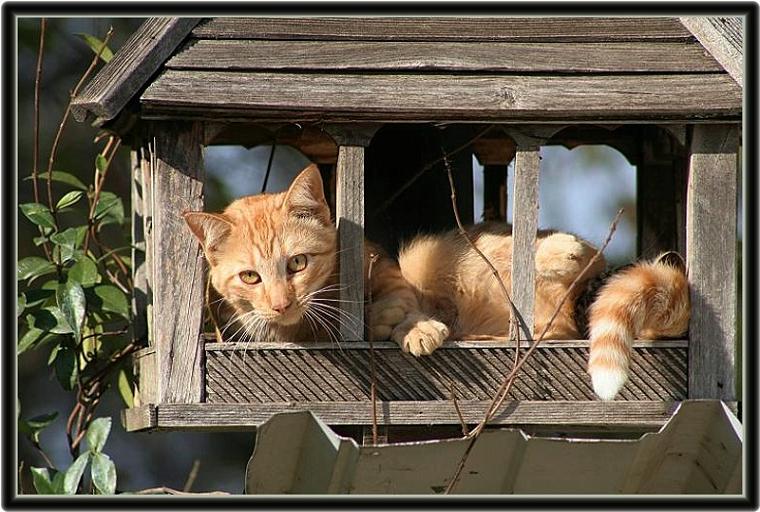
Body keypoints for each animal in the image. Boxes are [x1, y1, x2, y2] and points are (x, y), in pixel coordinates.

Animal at [183, 164, 688, 400]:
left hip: (446, 253)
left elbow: (401, 299)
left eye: (297, 263)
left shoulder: (386, 263)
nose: (281, 302)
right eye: (250, 277)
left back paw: (559, 252)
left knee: (544, 254)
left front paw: (412, 325)